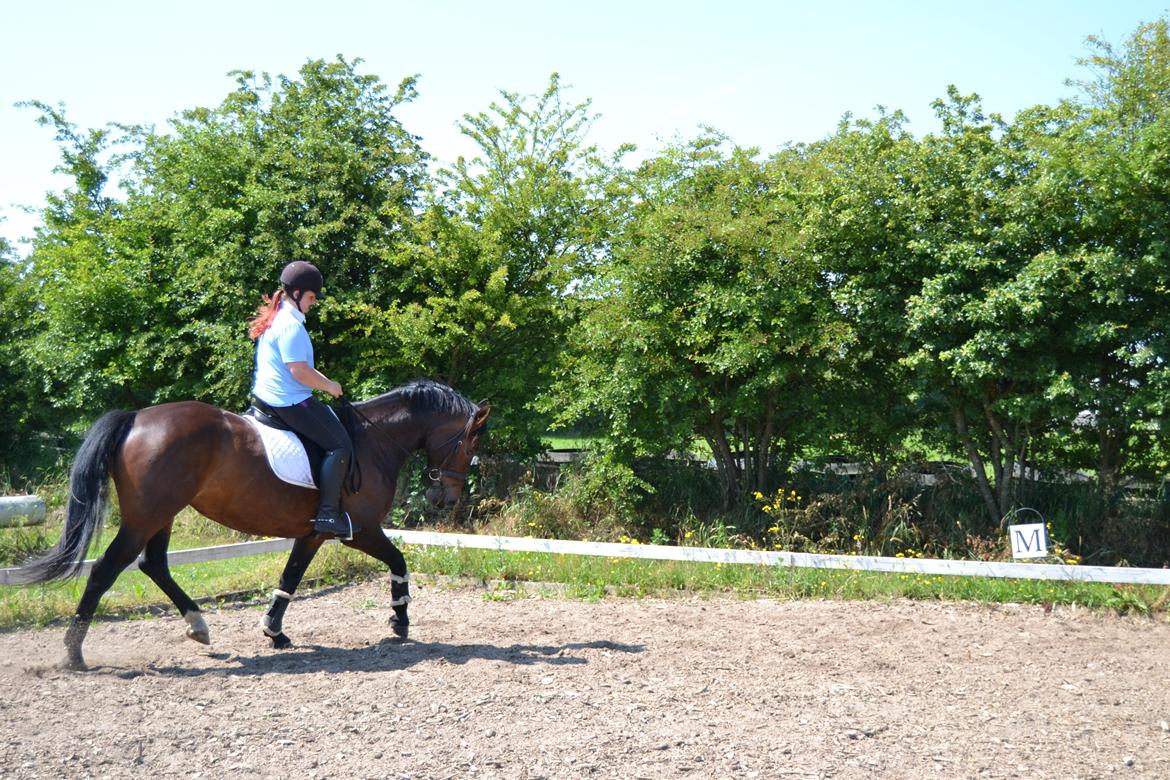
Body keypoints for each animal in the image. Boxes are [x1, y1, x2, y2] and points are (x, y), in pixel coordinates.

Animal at [13, 378, 489, 673]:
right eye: (471, 442)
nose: (446, 499)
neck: (372, 442)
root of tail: (135, 417)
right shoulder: (361, 529)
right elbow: (399, 560)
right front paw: (400, 621)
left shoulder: (314, 532)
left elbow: (290, 578)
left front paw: (274, 631)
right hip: (147, 516)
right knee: (105, 570)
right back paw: (74, 654)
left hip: (161, 514)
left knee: (154, 565)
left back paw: (198, 626)